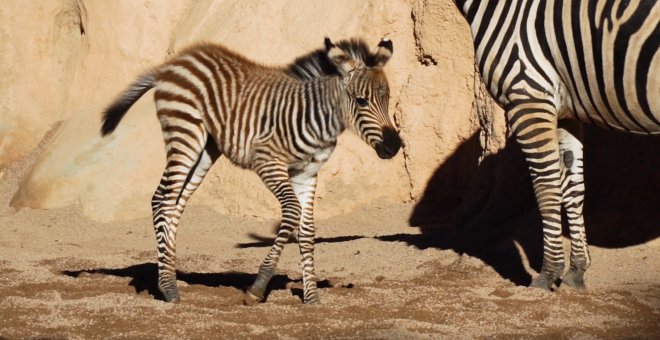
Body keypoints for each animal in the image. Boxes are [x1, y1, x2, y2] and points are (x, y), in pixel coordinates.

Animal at [100, 38, 400, 304]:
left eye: (387, 99)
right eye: (361, 101)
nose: (394, 146)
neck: (318, 118)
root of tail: (174, 62)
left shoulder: (307, 173)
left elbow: (307, 231)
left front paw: (312, 297)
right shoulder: (268, 162)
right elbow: (292, 213)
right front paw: (257, 288)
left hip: (206, 149)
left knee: (174, 203)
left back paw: (171, 275)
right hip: (185, 132)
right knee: (162, 199)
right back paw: (167, 288)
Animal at [456, 0, 656, 290]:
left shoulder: (528, 96)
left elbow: (546, 190)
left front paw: (547, 275)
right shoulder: (564, 111)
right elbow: (573, 188)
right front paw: (576, 271)